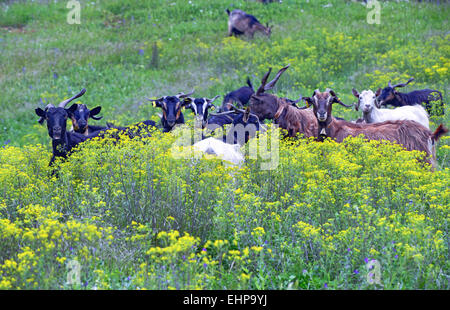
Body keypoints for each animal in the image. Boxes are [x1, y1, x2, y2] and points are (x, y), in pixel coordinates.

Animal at [304, 88, 448, 168]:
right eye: (313, 101)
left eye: (330, 101)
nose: (321, 114)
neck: (334, 128)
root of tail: (428, 133)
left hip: (424, 161)